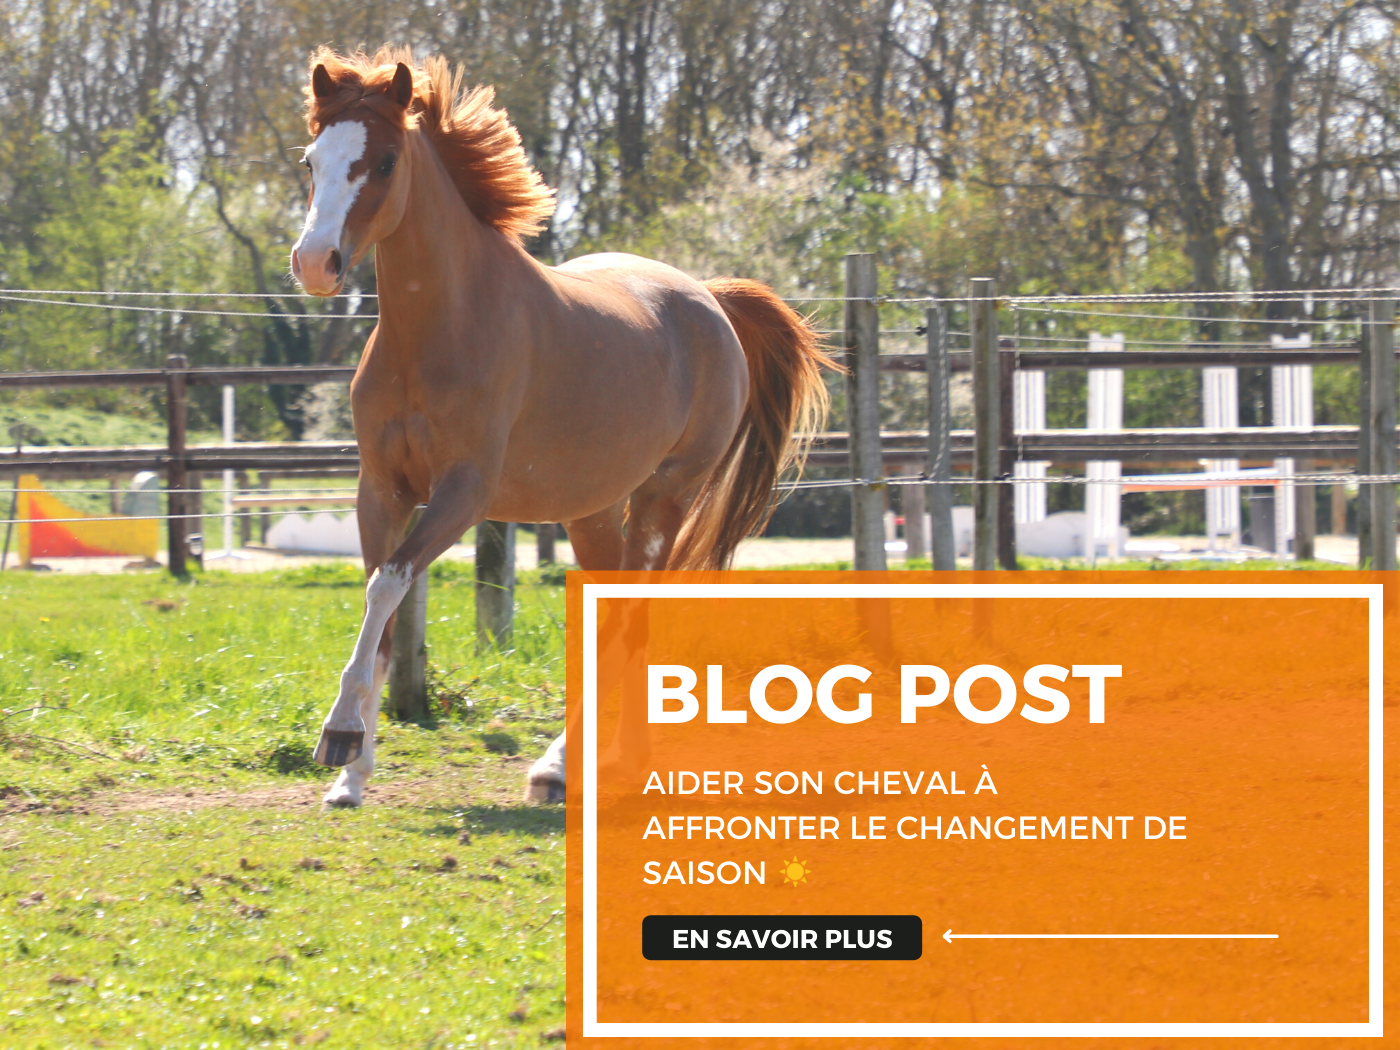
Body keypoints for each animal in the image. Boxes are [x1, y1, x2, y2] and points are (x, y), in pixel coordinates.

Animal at [289, 47, 831, 808]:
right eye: (313, 159)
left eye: (387, 161)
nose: (316, 263)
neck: (437, 332)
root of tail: (710, 299)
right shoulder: (382, 489)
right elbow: (382, 605)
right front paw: (351, 774)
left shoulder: (463, 493)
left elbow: (386, 586)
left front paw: (337, 735)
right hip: (592, 510)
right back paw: (562, 768)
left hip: (664, 497)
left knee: (634, 612)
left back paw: (602, 765)